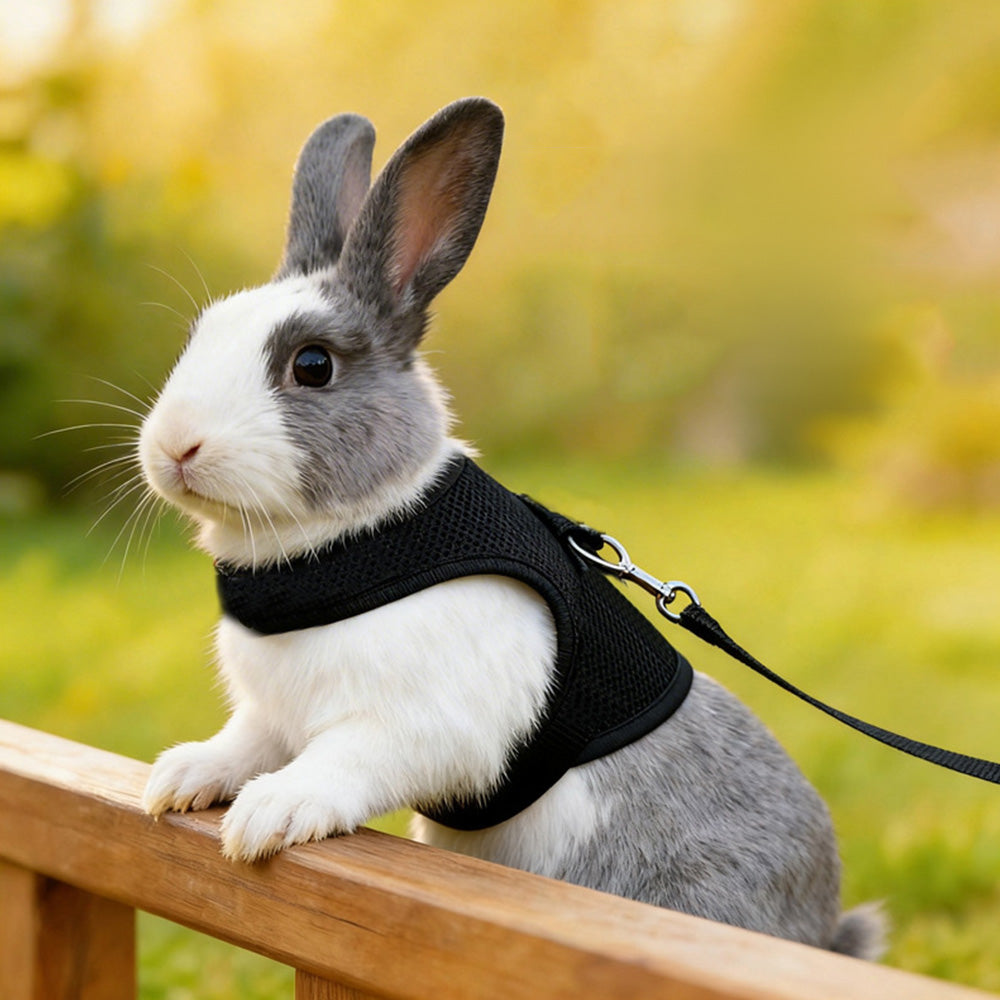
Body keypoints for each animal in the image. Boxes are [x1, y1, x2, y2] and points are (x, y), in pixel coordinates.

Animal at [138, 97, 883, 959]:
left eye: (312, 365)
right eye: (200, 335)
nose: (175, 447)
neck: (351, 541)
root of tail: (821, 934)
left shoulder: (420, 722)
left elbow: (344, 760)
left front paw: (269, 815)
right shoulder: (270, 715)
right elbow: (242, 744)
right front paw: (178, 780)